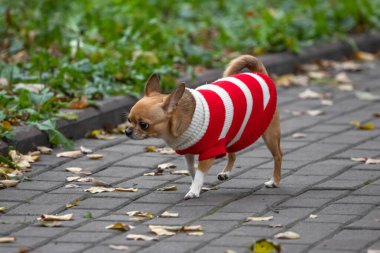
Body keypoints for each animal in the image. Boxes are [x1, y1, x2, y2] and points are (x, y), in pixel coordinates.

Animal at [125, 55, 282, 200]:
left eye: (144, 125)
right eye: (129, 120)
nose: (127, 131)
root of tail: (259, 73)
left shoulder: (209, 152)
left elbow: (200, 171)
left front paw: (194, 190)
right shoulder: (188, 151)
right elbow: (191, 169)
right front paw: (196, 185)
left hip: (269, 134)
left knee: (278, 155)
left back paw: (274, 181)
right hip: (233, 132)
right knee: (233, 153)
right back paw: (226, 172)